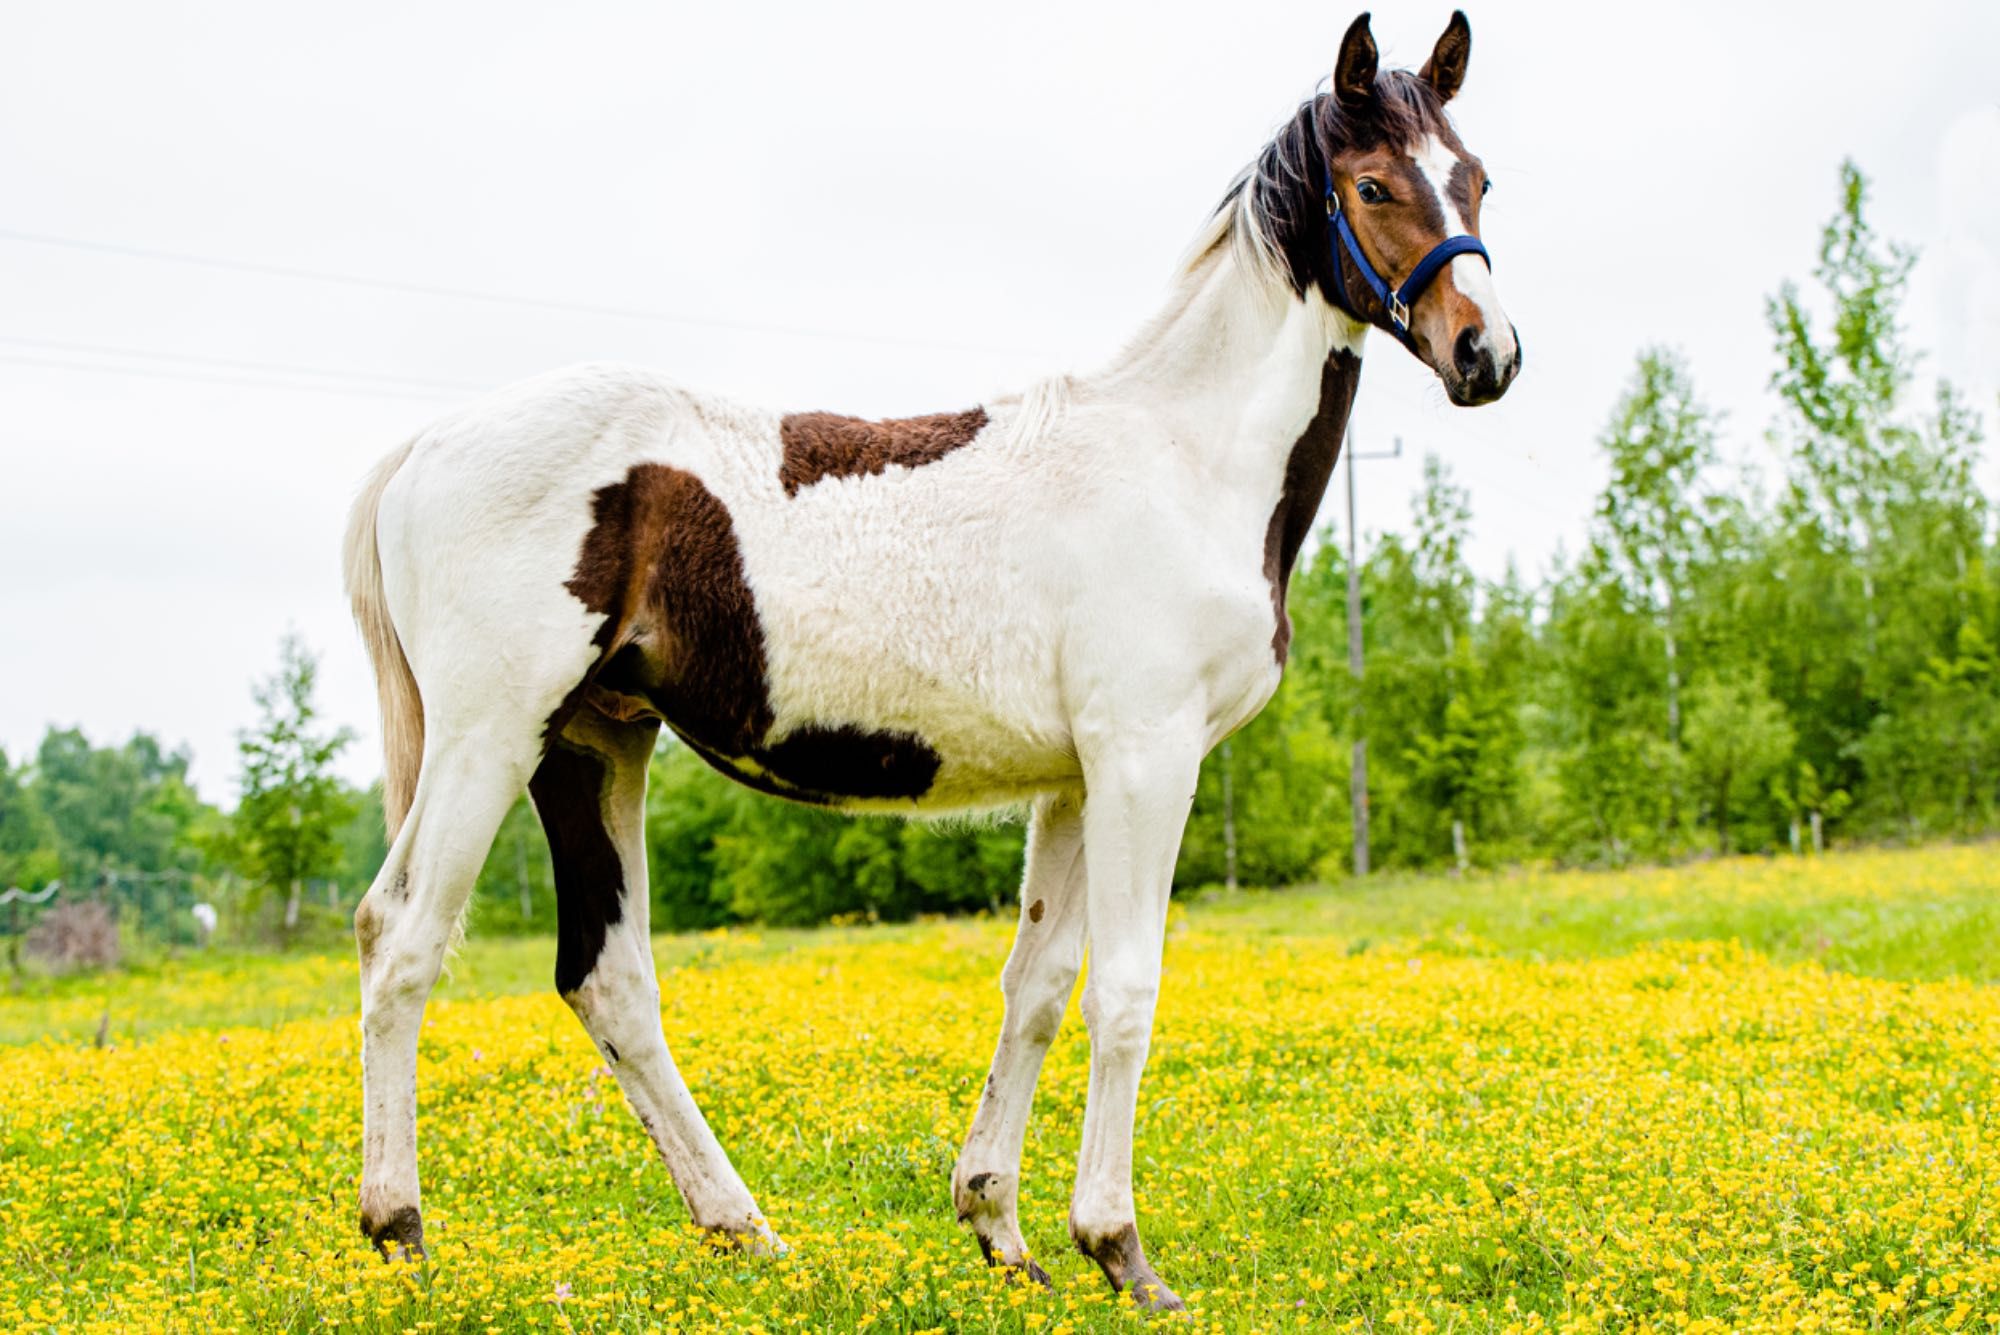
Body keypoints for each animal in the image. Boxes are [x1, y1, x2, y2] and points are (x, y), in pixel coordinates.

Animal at [340, 7, 1512, 1303]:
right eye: (1372, 185)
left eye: (1475, 178)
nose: (1483, 354)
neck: (1177, 457)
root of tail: (424, 445)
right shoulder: (1146, 760)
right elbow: (1125, 992)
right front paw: (1122, 1253)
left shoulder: (1074, 782)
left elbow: (1037, 989)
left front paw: (1001, 1230)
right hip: (492, 738)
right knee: (400, 937)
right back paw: (400, 1233)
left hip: (595, 743)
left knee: (609, 978)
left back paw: (745, 1231)